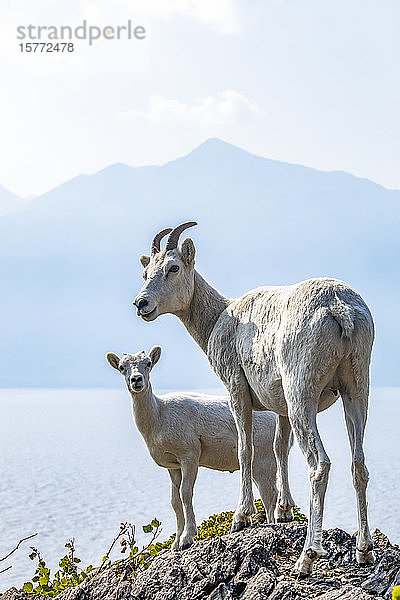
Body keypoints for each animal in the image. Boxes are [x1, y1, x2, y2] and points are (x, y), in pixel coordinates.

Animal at [107, 346, 282, 548]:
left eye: (148, 363)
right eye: (122, 367)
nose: (136, 380)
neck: (159, 415)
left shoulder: (189, 455)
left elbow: (185, 493)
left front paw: (187, 539)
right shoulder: (172, 465)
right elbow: (175, 501)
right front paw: (175, 543)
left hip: (264, 462)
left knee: (270, 496)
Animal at [134, 223, 376, 576]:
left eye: (173, 267)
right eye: (145, 271)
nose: (141, 304)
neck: (219, 319)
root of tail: (339, 309)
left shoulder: (236, 388)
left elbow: (244, 448)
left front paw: (242, 517)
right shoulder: (281, 408)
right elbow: (279, 449)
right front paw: (284, 513)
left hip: (302, 392)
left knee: (320, 464)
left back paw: (306, 558)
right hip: (356, 389)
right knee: (359, 465)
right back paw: (364, 551)